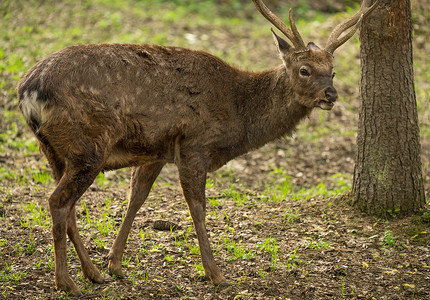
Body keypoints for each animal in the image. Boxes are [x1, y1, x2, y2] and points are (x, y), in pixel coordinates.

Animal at [18, 0, 378, 296]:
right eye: (304, 70)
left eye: (332, 71)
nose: (331, 94)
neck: (237, 113)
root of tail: (28, 91)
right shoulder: (194, 143)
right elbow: (197, 206)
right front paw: (216, 274)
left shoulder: (157, 150)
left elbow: (137, 196)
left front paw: (115, 264)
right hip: (87, 146)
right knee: (58, 201)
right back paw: (67, 282)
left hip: (56, 150)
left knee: (68, 206)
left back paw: (92, 274)